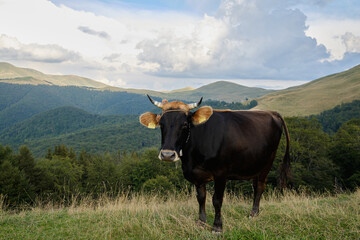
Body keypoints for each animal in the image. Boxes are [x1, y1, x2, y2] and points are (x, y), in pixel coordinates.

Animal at [139, 95, 292, 232]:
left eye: (185, 125)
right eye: (161, 124)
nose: (167, 155)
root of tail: (271, 112)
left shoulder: (221, 173)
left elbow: (217, 200)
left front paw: (217, 227)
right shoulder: (197, 175)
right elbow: (201, 198)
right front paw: (201, 222)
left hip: (269, 160)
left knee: (260, 186)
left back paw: (253, 214)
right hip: (255, 163)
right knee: (256, 186)